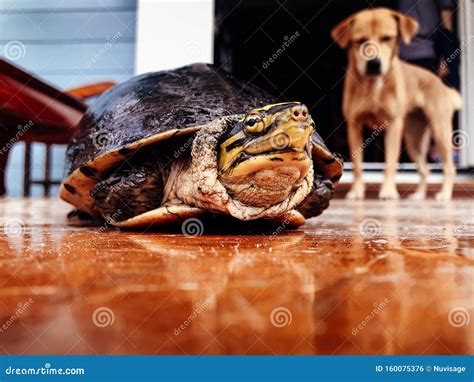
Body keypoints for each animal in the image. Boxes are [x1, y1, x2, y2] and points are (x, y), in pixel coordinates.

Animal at [332, 7, 462, 201]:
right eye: (360, 41)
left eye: (387, 38)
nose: (374, 63)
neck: (373, 86)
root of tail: (441, 84)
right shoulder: (354, 126)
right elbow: (357, 165)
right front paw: (356, 191)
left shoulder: (393, 125)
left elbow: (391, 162)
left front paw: (388, 191)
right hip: (413, 139)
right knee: (425, 170)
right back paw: (419, 195)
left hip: (440, 133)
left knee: (449, 168)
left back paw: (444, 194)